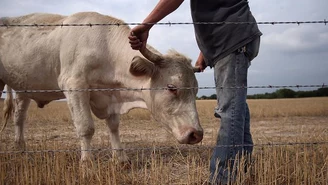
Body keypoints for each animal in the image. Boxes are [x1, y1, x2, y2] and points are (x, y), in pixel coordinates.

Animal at [0, 12, 204, 161]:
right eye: (172, 87)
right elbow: (86, 127)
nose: (196, 134)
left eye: (195, 90)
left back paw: (21, 148)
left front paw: (120, 159)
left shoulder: (110, 96)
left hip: (24, 88)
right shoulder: (74, 86)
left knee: (19, 117)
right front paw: (87, 163)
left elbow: (114, 127)